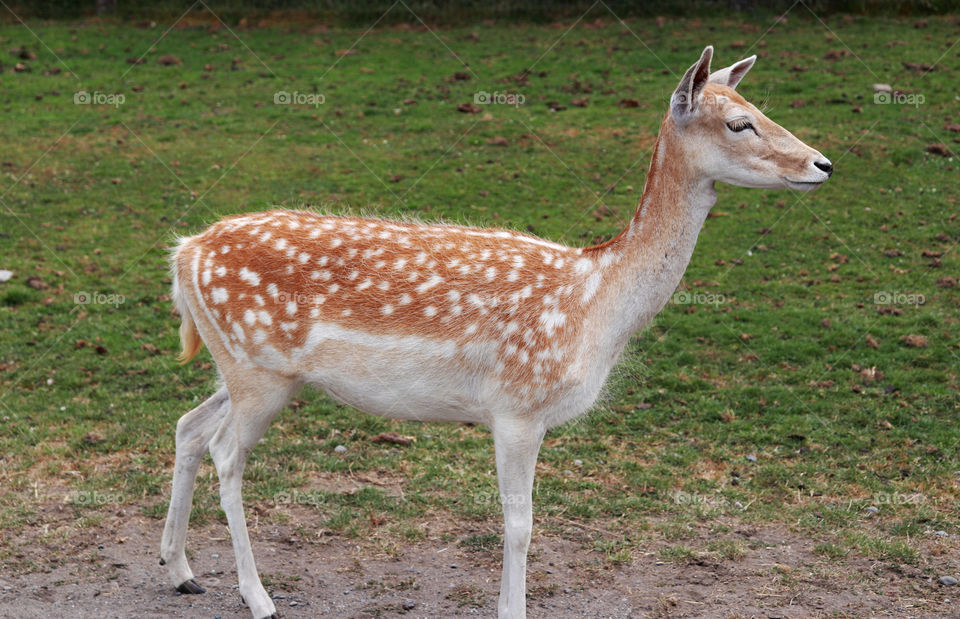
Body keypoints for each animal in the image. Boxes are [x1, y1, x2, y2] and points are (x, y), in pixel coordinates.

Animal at [159, 46, 832, 619]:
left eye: (760, 108)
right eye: (739, 123)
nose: (822, 164)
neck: (598, 306)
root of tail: (184, 252)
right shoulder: (517, 406)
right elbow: (520, 524)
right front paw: (513, 609)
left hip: (251, 370)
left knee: (188, 425)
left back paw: (180, 569)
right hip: (256, 372)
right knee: (224, 453)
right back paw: (257, 597)